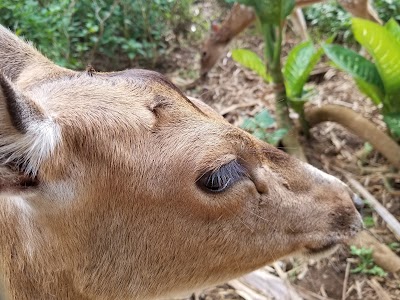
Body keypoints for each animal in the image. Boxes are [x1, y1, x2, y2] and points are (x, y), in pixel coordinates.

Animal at [202, 0, 382, 76]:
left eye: (203, 53)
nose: (202, 74)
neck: (249, 14)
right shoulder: (292, 8)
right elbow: (302, 28)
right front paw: (309, 58)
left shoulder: (276, 13)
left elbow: (278, 39)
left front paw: (269, 67)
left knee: (371, 22)